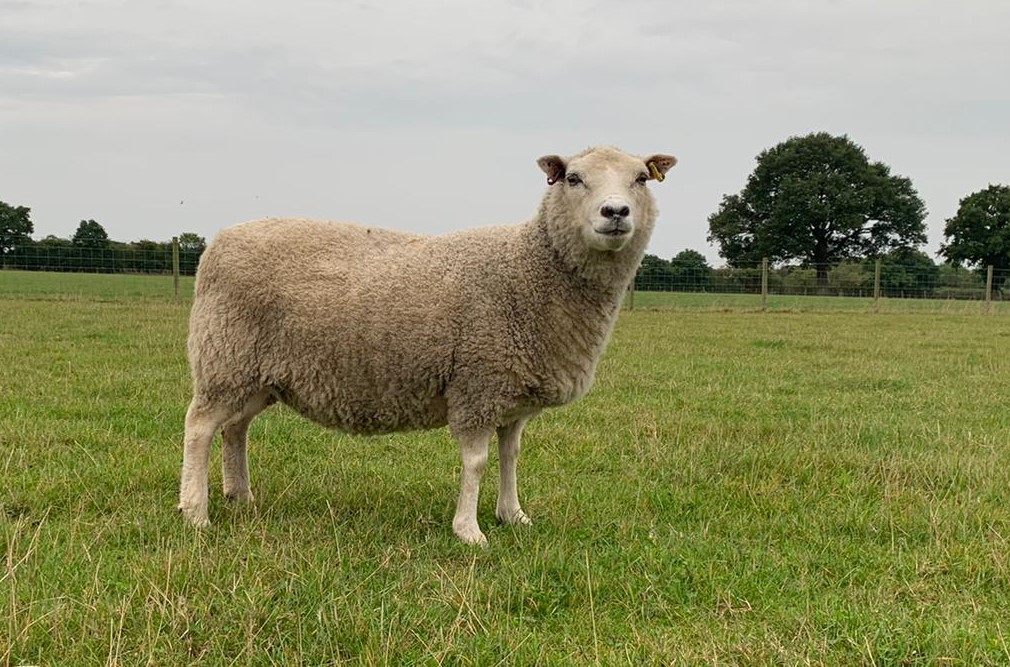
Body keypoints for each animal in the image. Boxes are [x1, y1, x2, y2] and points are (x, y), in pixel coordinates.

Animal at [179, 144, 678, 541]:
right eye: (573, 178)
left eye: (640, 178)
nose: (616, 213)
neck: (533, 268)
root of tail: (219, 241)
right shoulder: (478, 385)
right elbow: (477, 462)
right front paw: (469, 530)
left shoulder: (513, 395)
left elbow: (511, 456)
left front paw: (513, 515)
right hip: (224, 356)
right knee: (199, 427)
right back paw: (196, 511)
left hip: (258, 373)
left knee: (235, 428)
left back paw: (241, 495)